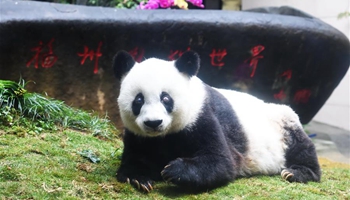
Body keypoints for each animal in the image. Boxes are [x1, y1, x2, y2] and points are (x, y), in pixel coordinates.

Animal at [113, 50, 322, 192]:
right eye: (138, 100)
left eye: (165, 98)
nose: (153, 123)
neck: (165, 135)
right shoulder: (138, 135)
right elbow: (135, 157)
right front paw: (139, 178)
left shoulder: (202, 116)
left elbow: (222, 162)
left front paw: (173, 170)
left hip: (283, 123)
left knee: (301, 147)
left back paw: (297, 172)